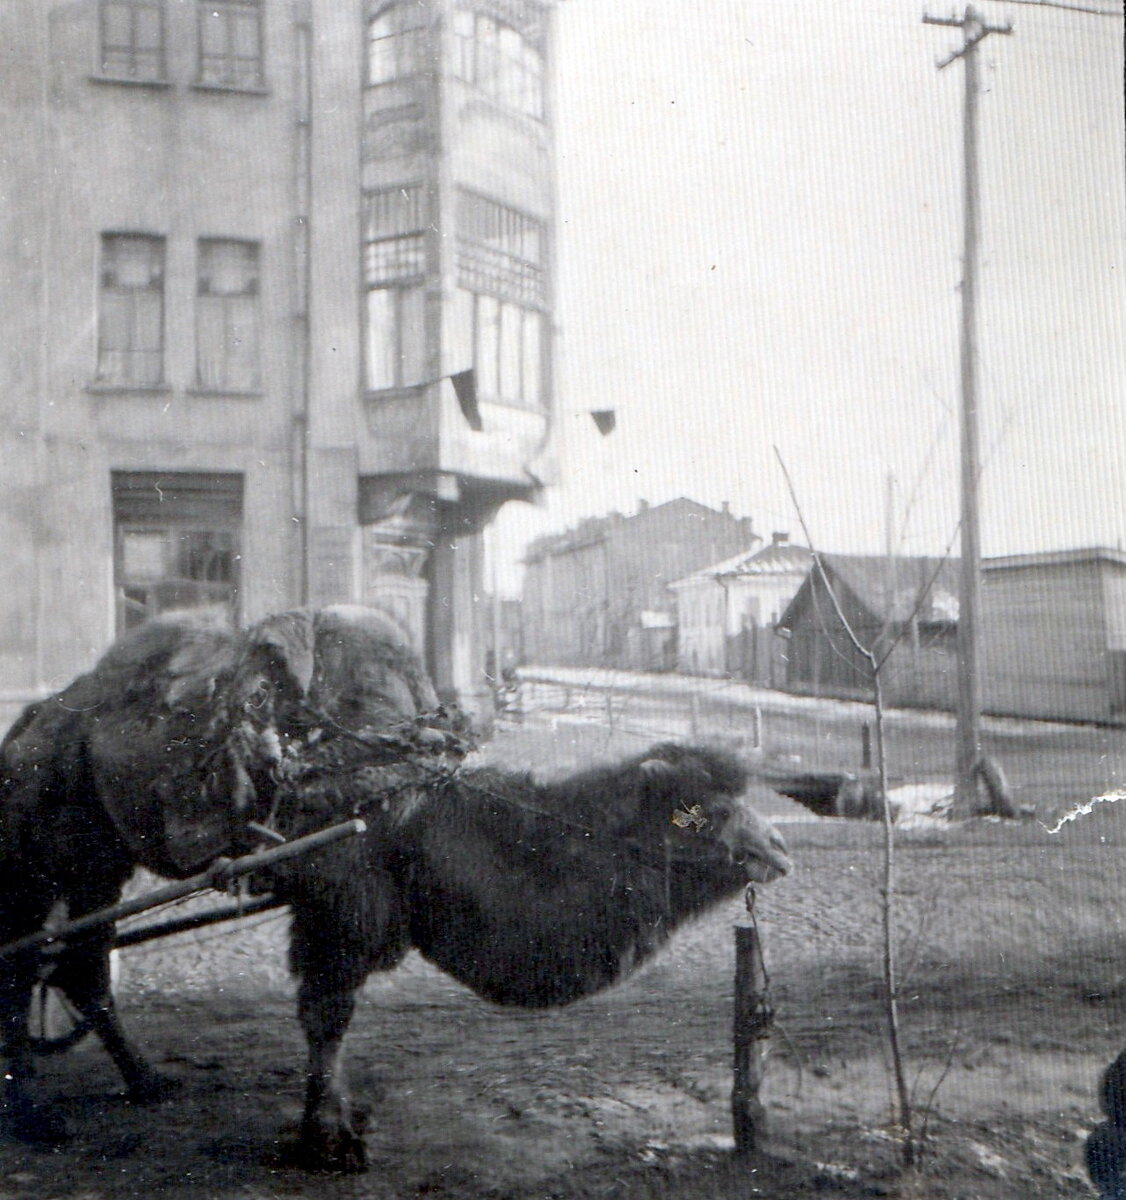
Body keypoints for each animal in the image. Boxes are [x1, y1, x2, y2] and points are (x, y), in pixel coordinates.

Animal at [2, 604, 792, 1166]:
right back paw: (38, 1116)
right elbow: (327, 1016)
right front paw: (329, 1140)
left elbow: (329, 1018)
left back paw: (144, 1083)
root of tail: (29, 725)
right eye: (693, 811)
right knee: (27, 962)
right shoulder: (336, 906)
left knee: (77, 965)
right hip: (44, 850)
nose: (778, 848)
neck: (414, 804)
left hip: (96, 861)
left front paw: (338, 1123)